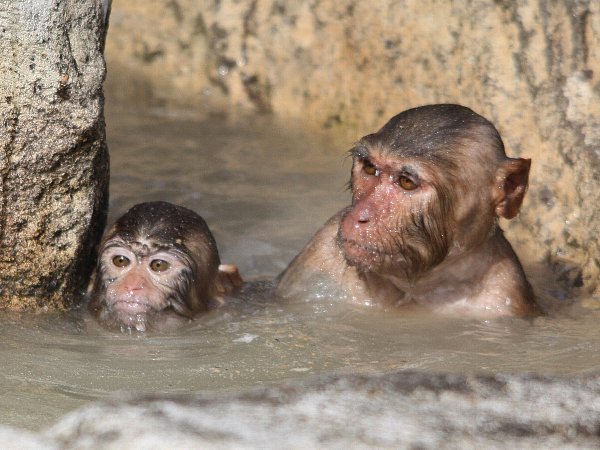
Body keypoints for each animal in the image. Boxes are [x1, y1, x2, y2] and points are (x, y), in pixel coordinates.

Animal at [276, 104, 540, 318]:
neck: (418, 285)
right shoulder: (320, 250)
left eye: (406, 182)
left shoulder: (505, 293)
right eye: (370, 168)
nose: (360, 216)